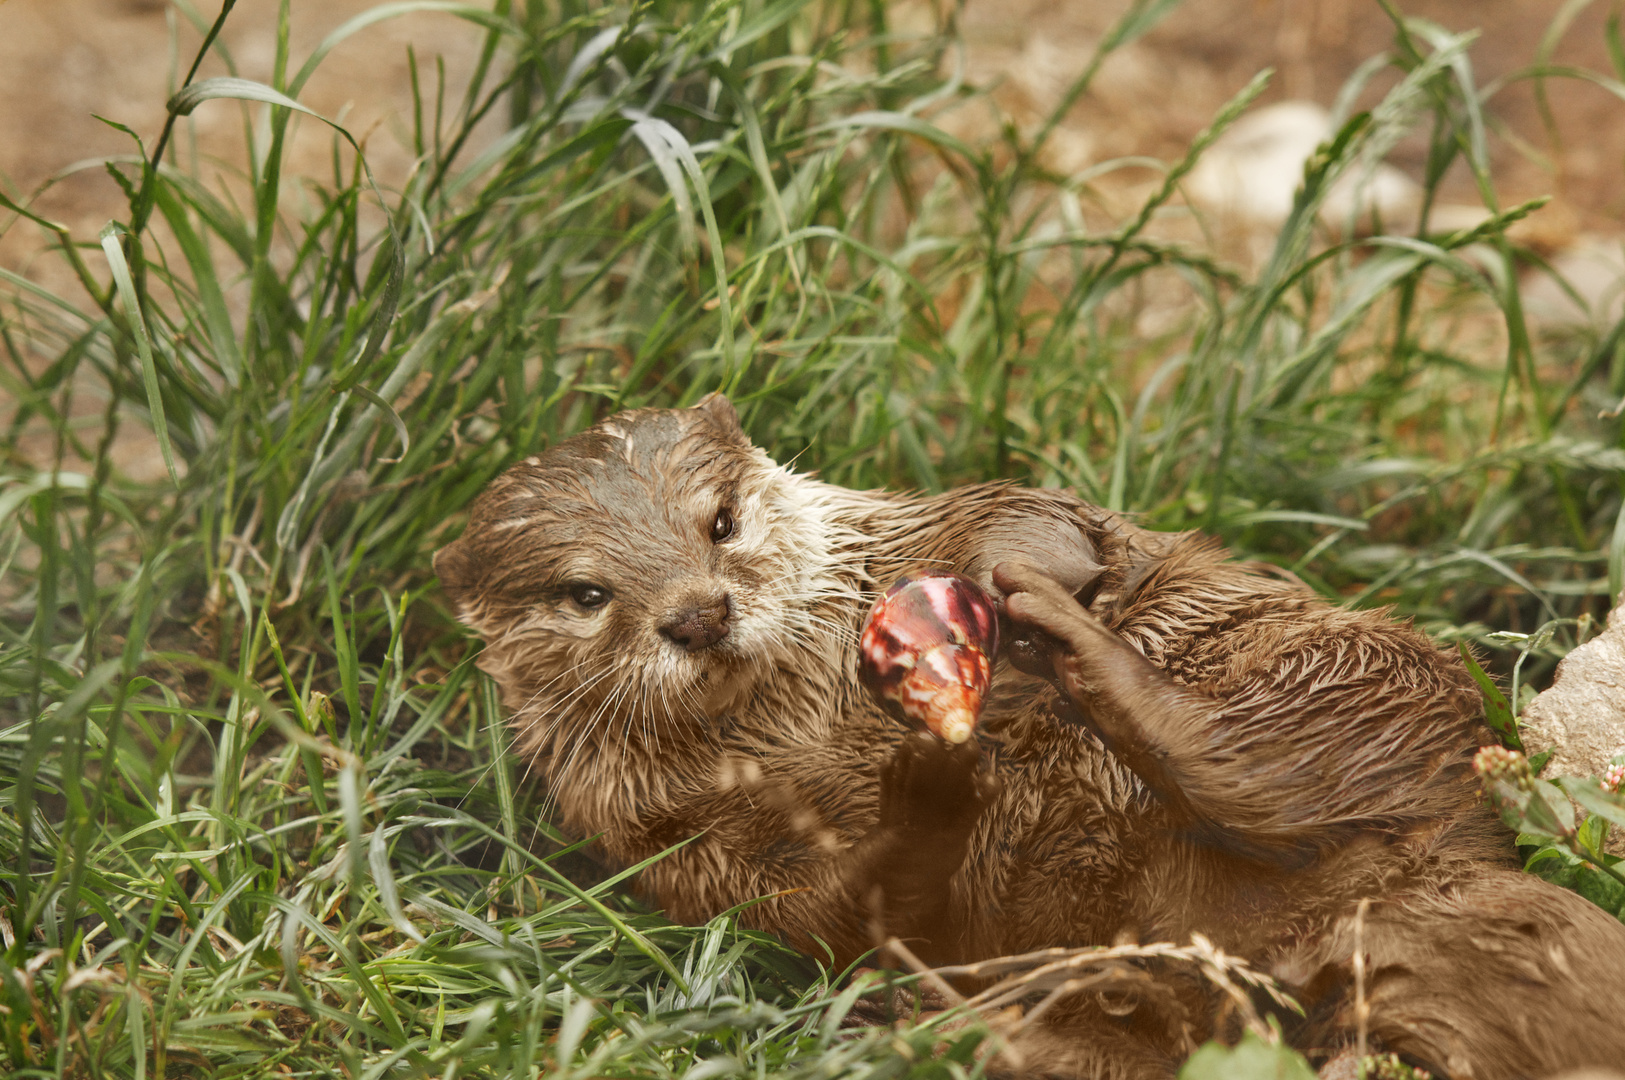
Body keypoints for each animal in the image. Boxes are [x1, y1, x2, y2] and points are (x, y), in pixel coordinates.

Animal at [438, 396, 1625, 1078]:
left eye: (719, 522)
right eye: (586, 593)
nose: (693, 613)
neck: (803, 725)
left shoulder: (934, 519)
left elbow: (1031, 516)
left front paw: (1010, 589)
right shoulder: (678, 854)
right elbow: (836, 914)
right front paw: (924, 795)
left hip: (1355, 677)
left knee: (1252, 770)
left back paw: (1066, 647)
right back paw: (945, 1027)